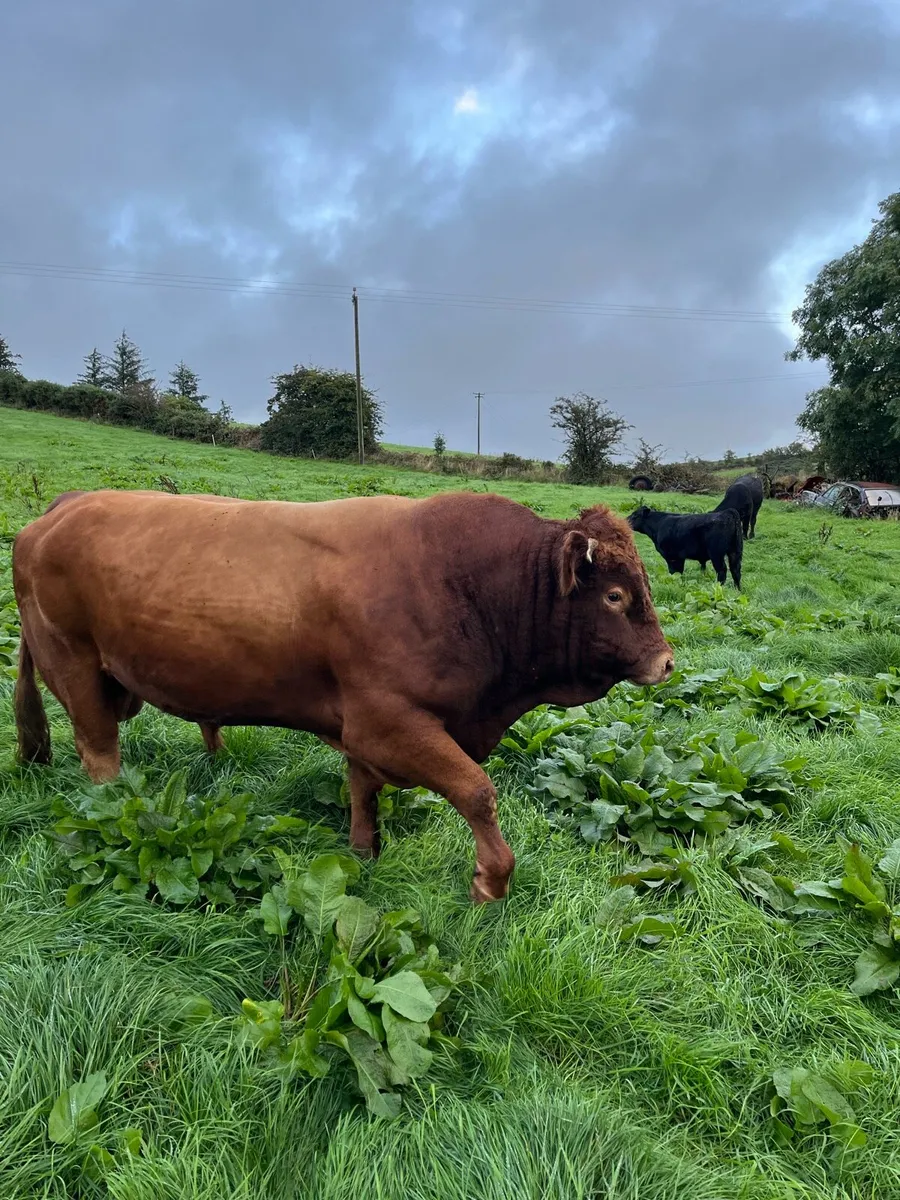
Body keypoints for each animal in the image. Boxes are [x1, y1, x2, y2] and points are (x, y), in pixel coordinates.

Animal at [13, 489, 674, 903]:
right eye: (615, 595)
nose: (666, 662)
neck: (467, 587)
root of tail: (64, 506)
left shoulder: (363, 727)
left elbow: (362, 790)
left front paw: (363, 851)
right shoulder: (389, 722)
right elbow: (477, 792)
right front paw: (492, 881)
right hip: (78, 669)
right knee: (99, 753)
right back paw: (116, 814)